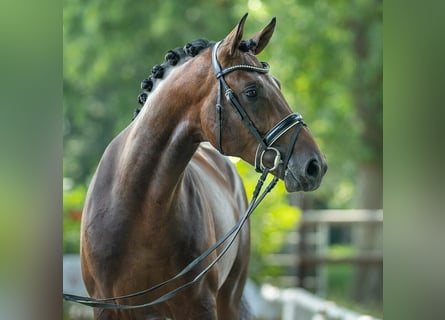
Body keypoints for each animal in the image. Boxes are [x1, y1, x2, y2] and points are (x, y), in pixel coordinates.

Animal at [78, 14, 324, 320]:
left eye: (277, 83)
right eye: (252, 91)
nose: (314, 165)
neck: (137, 207)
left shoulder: (199, 306)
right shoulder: (107, 308)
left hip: (229, 298)